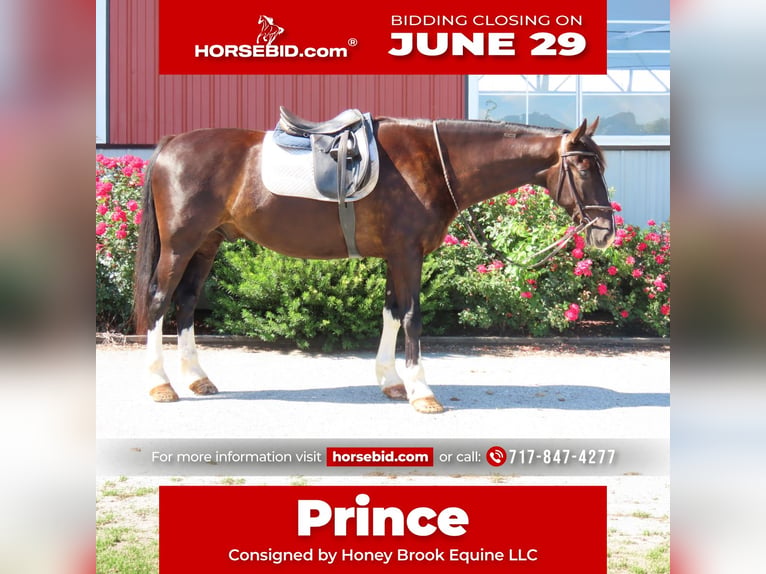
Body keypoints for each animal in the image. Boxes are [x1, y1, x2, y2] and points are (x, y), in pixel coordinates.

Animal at [133, 115, 614, 414]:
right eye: (584, 166)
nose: (605, 231)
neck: (432, 164)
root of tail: (172, 144)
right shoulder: (407, 255)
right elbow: (413, 318)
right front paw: (422, 392)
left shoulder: (394, 256)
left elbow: (391, 315)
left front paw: (391, 382)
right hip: (180, 245)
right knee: (159, 302)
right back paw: (160, 384)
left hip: (206, 245)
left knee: (187, 303)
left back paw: (197, 378)